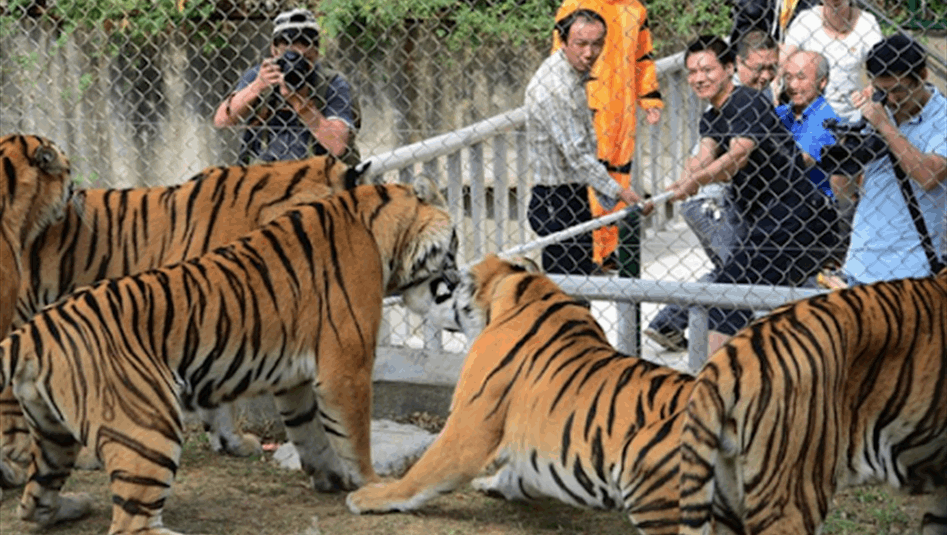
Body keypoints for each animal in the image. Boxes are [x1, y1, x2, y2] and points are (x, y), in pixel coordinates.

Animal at [346, 256, 696, 535]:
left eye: (445, 284)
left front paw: (370, 496)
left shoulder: (469, 426)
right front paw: (489, 483)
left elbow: (424, 471)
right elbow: (516, 477)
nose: (410, 290)